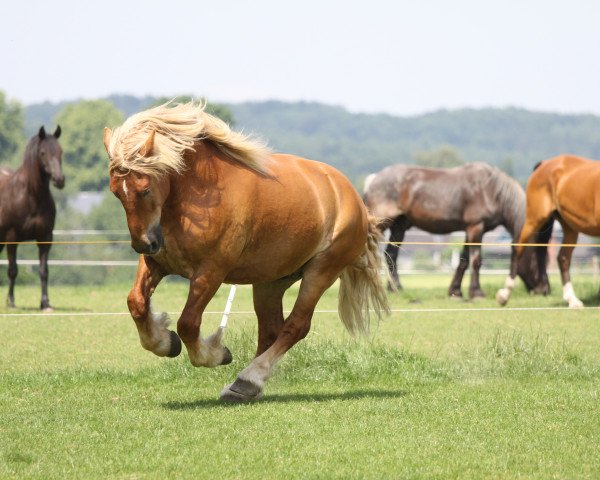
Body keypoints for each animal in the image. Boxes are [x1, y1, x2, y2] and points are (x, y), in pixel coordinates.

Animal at [0, 125, 64, 310]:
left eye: (60, 151)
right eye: (43, 152)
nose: (59, 180)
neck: (31, 196)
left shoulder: (45, 238)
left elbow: (44, 271)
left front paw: (45, 303)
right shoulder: (12, 238)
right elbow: (12, 270)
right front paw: (11, 301)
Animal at [103, 102, 390, 402]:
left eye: (145, 189)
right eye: (116, 192)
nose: (143, 244)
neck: (196, 197)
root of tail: (355, 200)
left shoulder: (211, 272)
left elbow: (188, 324)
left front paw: (216, 354)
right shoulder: (157, 263)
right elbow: (136, 303)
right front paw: (165, 342)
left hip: (321, 272)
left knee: (295, 326)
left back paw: (249, 377)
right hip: (270, 282)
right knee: (271, 330)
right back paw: (243, 387)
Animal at [360, 165, 548, 300]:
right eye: (536, 260)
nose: (544, 290)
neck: (492, 190)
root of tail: (373, 179)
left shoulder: (470, 230)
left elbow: (464, 260)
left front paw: (455, 291)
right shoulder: (476, 227)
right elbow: (476, 260)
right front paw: (476, 292)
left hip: (399, 226)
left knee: (391, 254)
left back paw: (396, 288)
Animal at [496, 156, 600, 310]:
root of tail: (544, 164)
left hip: (569, 226)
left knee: (563, 258)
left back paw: (572, 300)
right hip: (535, 218)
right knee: (518, 248)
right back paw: (504, 295)